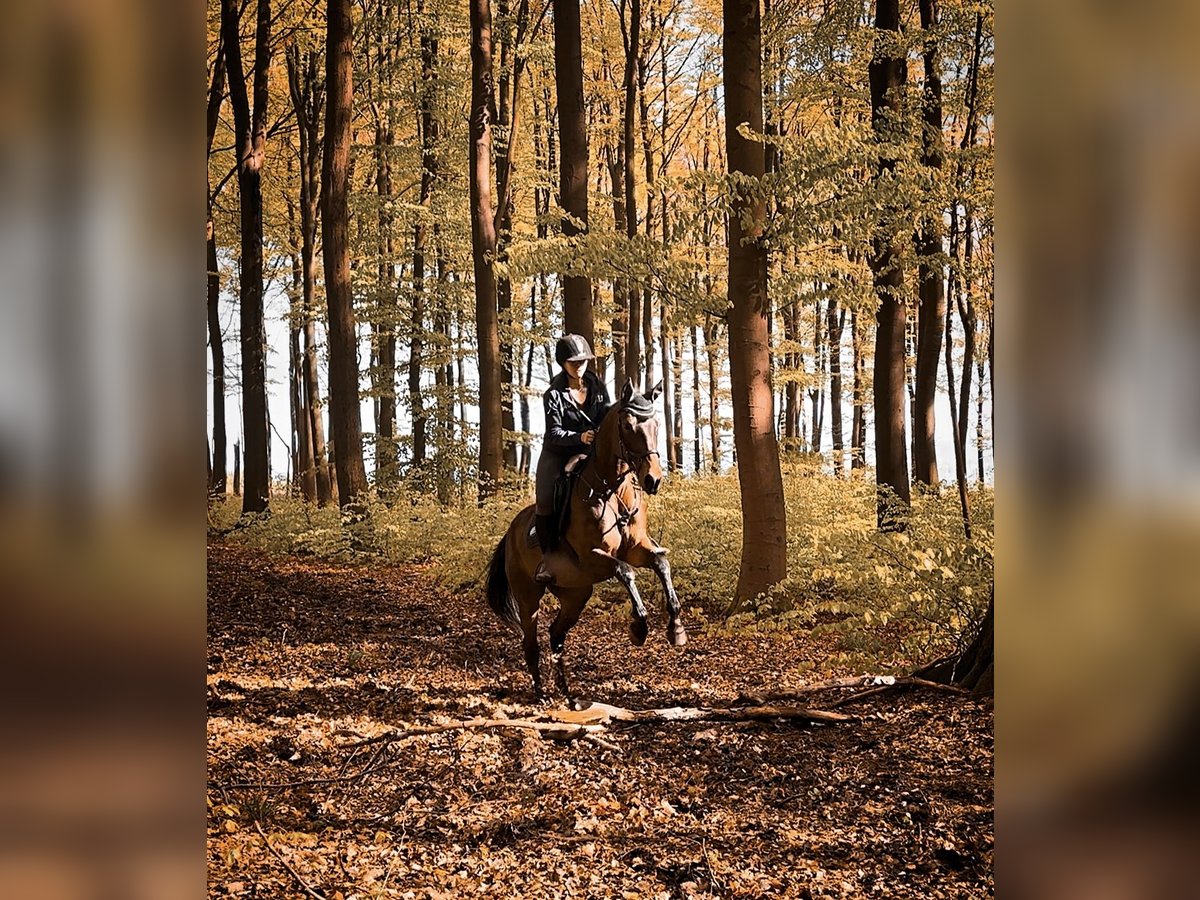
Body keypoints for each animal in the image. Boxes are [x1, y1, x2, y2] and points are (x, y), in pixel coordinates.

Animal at [484, 381, 691, 705]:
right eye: (628, 425)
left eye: (656, 424)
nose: (653, 480)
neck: (612, 490)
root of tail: (510, 532)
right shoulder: (592, 558)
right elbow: (625, 571)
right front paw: (639, 627)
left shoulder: (637, 548)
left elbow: (660, 562)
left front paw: (676, 629)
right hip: (528, 594)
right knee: (530, 641)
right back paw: (541, 694)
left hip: (576, 594)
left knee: (556, 635)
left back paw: (567, 694)